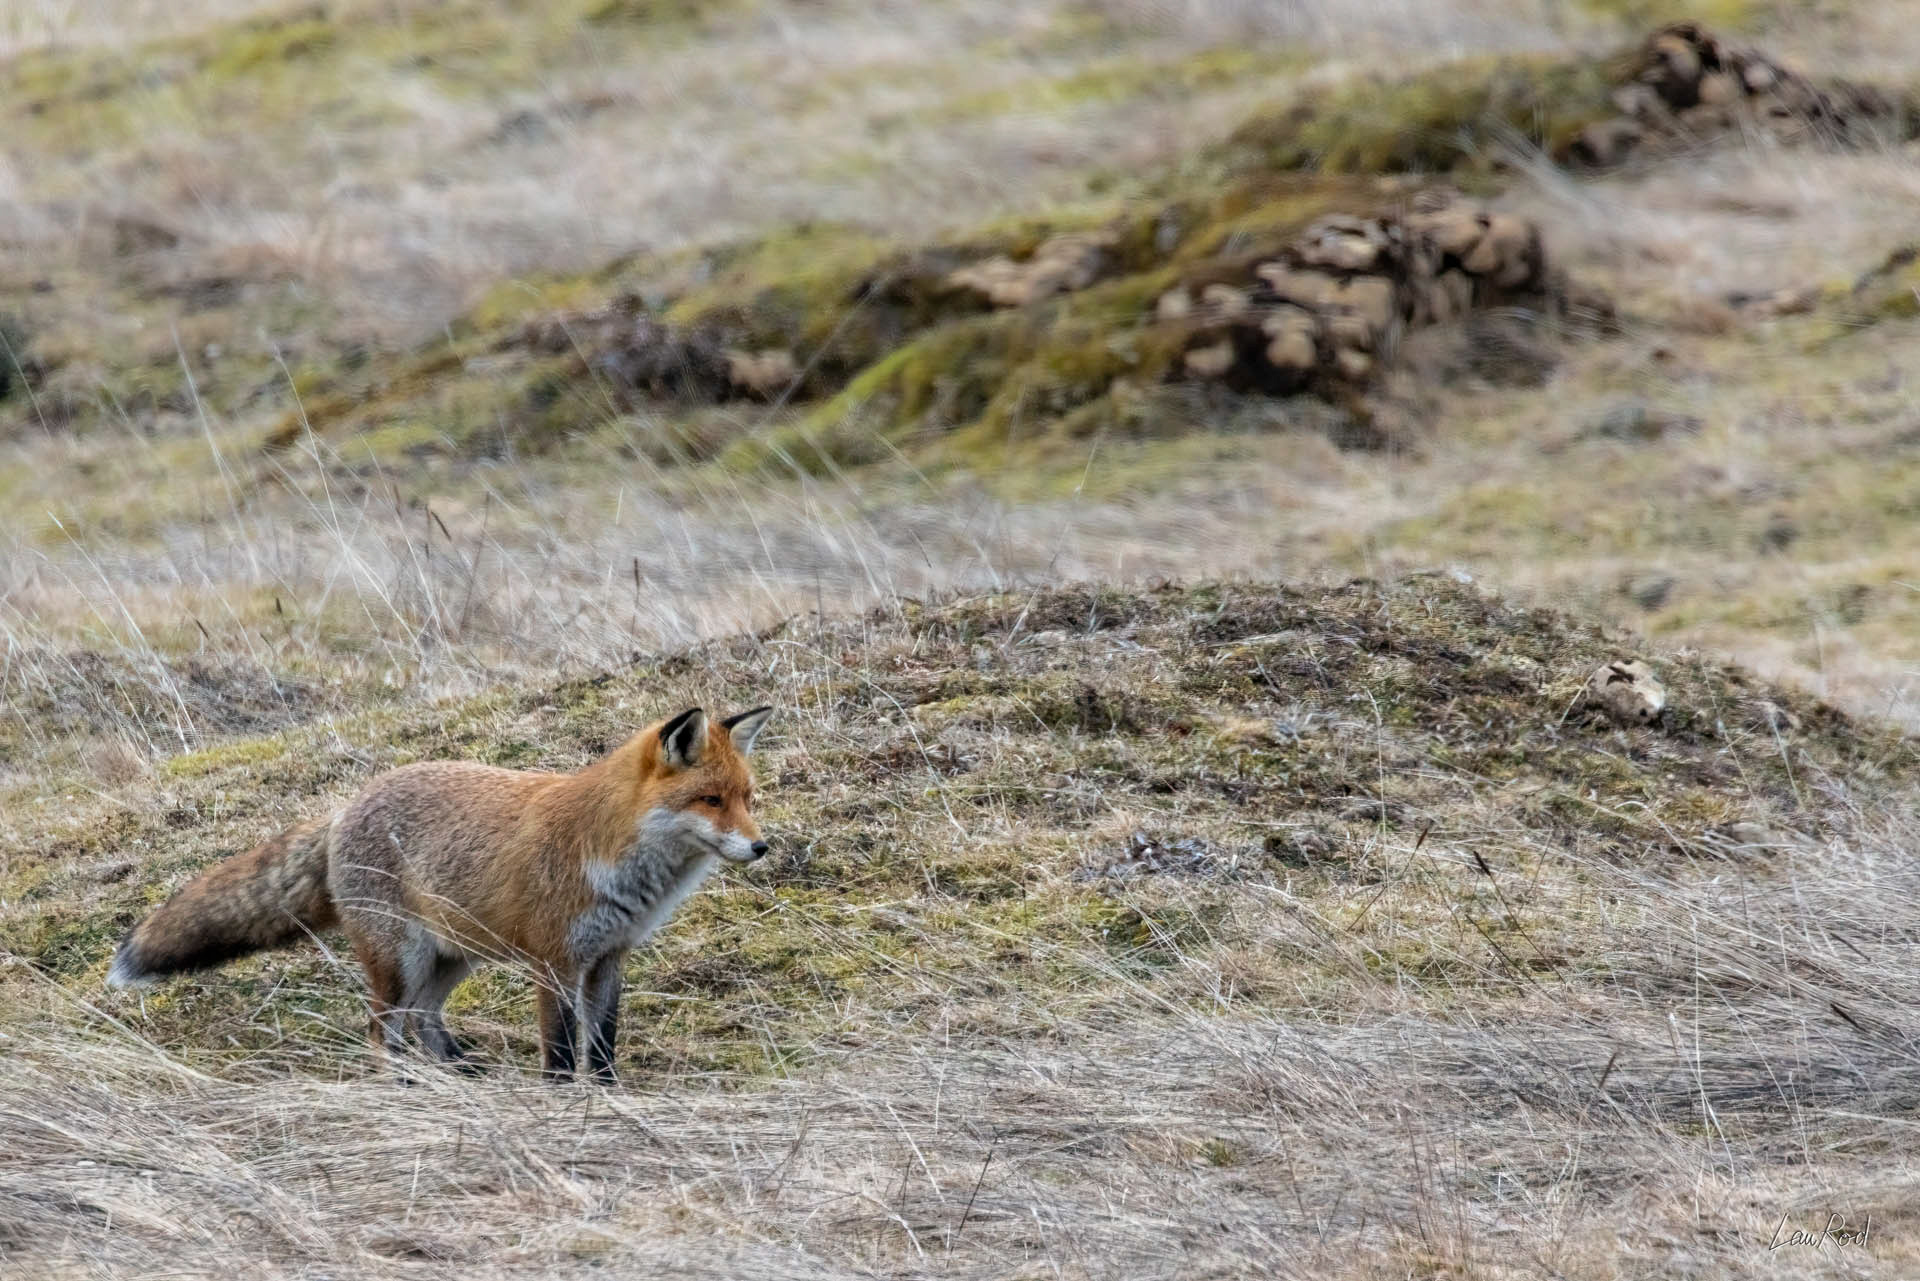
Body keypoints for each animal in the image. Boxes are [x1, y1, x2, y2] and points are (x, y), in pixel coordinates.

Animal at [107, 705, 773, 1082]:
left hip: (453, 956)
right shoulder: (554, 961)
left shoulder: (608, 957)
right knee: (383, 1031)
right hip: (402, 959)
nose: (761, 847)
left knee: (423, 1018)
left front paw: (608, 1099)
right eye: (710, 800)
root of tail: (344, 809)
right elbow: (560, 1052)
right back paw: (407, 1090)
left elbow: (603, 1046)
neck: (611, 853)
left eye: (748, 798)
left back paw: (455, 1071)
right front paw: (561, 1105)